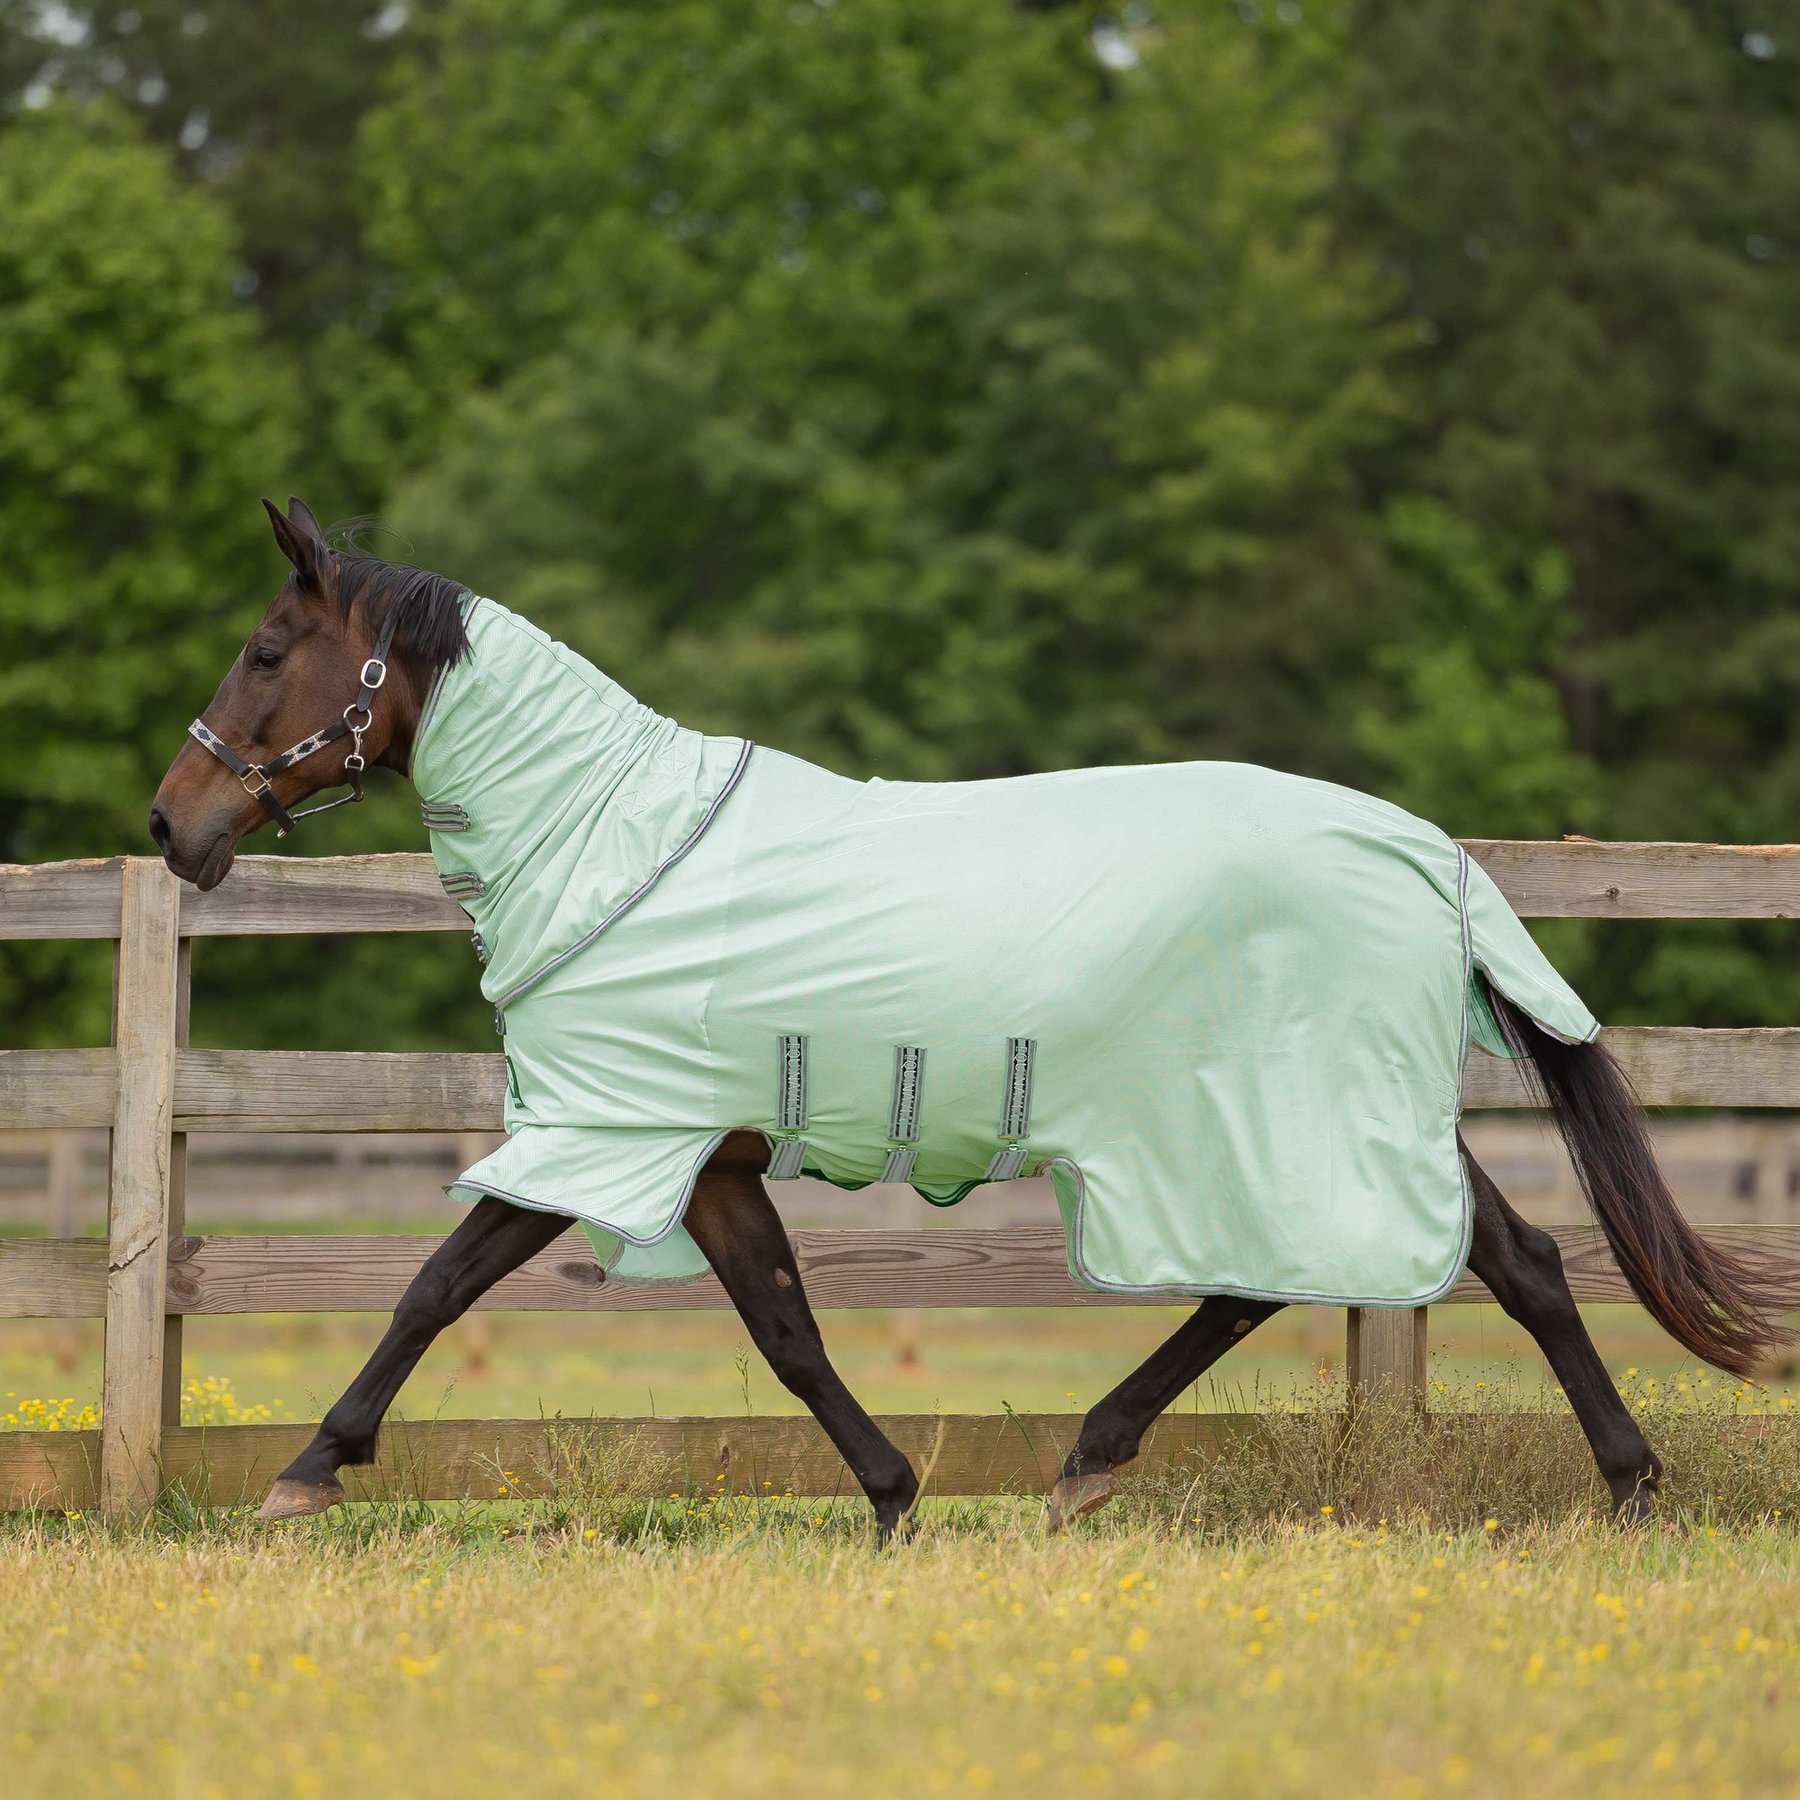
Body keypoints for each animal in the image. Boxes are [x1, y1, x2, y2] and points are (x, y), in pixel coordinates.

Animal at [149, 497, 1790, 1538]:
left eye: (265, 650)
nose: (172, 827)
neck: (619, 841)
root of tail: (1428, 854)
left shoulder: (612, 1130)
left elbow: (432, 1287)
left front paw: (307, 1471)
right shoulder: (713, 1156)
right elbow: (787, 1331)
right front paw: (892, 1500)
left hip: (1282, 1119)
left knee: (1413, 1270)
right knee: (1428, 1269)